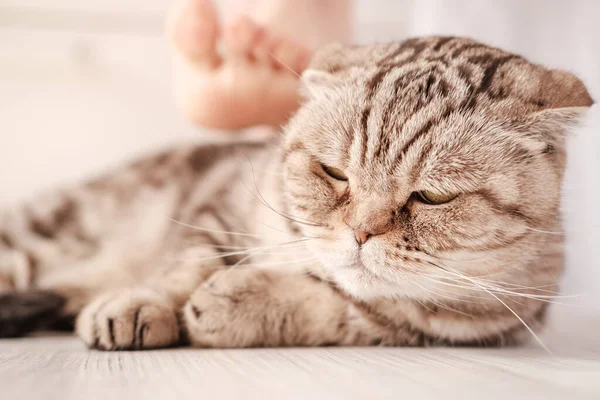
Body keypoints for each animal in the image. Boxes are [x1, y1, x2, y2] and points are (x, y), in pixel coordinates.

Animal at [0, 36, 592, 350]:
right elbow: (185, 263)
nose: (361, 232)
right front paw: (140, 303)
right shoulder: (216, 204)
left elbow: (337, 306)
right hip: (41, 235)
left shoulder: (458, 326)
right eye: (335, 173)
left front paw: (235, 300)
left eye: (433, 197)